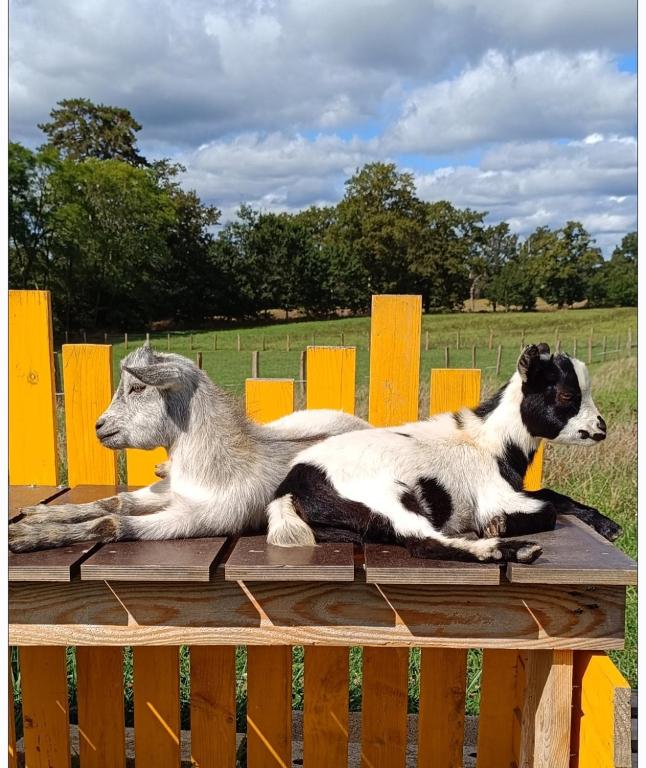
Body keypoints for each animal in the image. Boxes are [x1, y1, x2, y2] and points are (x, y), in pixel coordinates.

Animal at [9, 345, 370, 552]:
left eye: (137, 387)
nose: (98, 426)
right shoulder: (172, 491)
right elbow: (115, 501)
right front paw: (40, 514)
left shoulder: (201, 517)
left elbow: (111, 521)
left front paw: (28, 536)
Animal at [265, 344, 622, 564]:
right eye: (566, 395)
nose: (601, 428)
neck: (491, 443)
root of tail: (292, 485)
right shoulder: (494, 495)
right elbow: (546, 508)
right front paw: (500, 525)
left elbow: (553, 496)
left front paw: (608, 526)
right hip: (388, 494)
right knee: (423, 542)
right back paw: (514, 550)